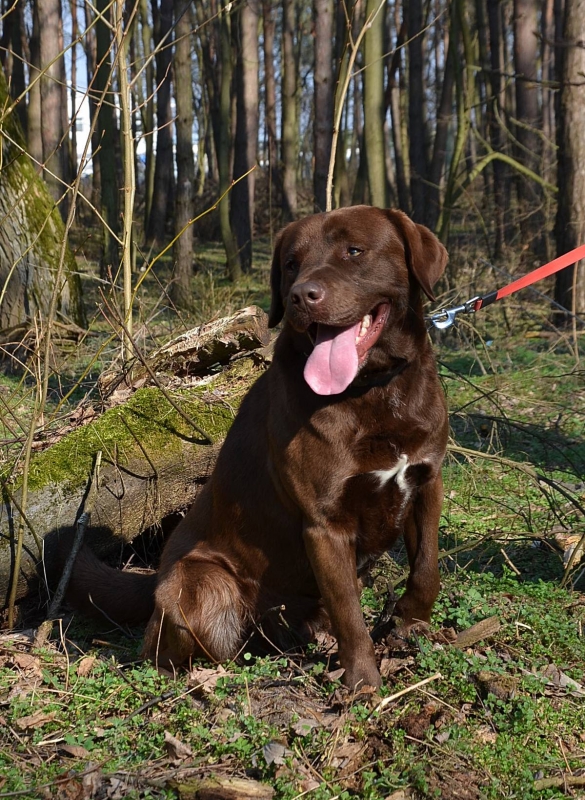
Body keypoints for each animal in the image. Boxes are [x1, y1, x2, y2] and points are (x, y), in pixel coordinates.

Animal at [68, 205, 449, 690]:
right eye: (290, 264)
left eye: (354, 251)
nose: (303, 296)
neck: (373, 389)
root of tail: (154, 581)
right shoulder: (324, 524)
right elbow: (349, 611)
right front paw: (364, 682)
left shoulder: (425, 481)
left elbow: (428, 566)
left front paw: (410, 621)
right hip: (203, 583)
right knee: (162, 648)